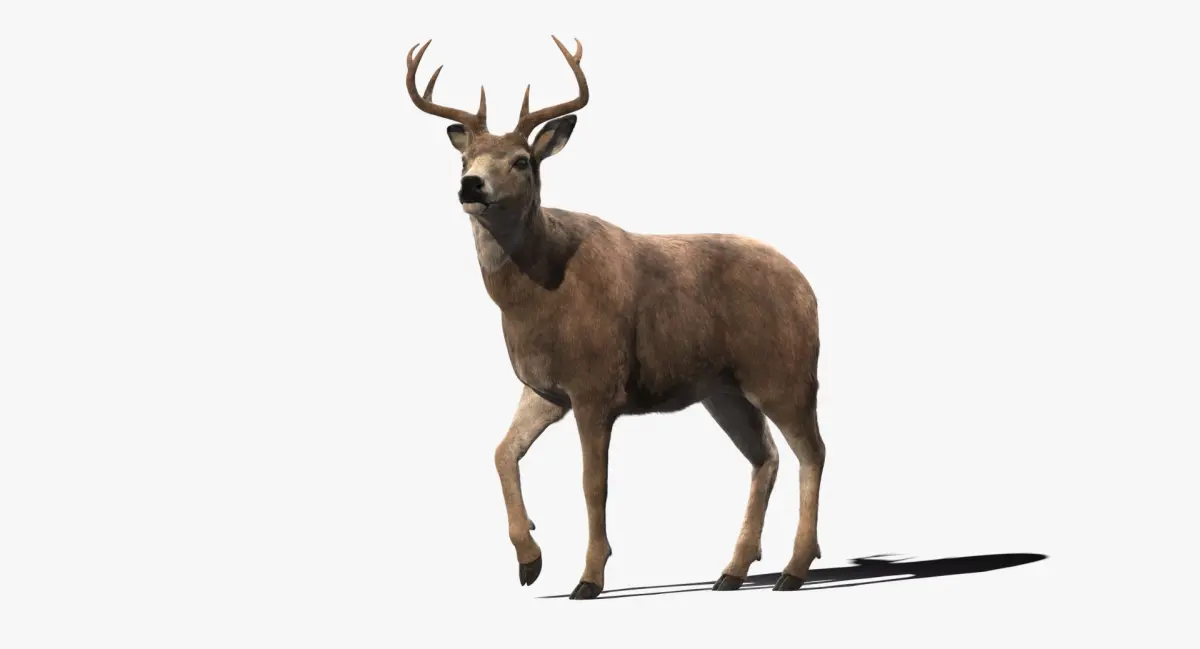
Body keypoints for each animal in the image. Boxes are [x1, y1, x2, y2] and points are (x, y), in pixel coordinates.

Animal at [404, 36, 826, 600]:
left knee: (812, 453)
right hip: (723, 390)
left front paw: (589, 577)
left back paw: (793, 570)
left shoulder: (597, 384)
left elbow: (593, 484)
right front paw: (530, 560)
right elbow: (501, 452)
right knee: (767, 457)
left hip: (784, 370)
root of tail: (807, 287)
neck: (539, 292)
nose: (471, 186)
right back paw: (733, 571)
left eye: (521, 160)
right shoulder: (543, 388)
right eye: (466, 157)